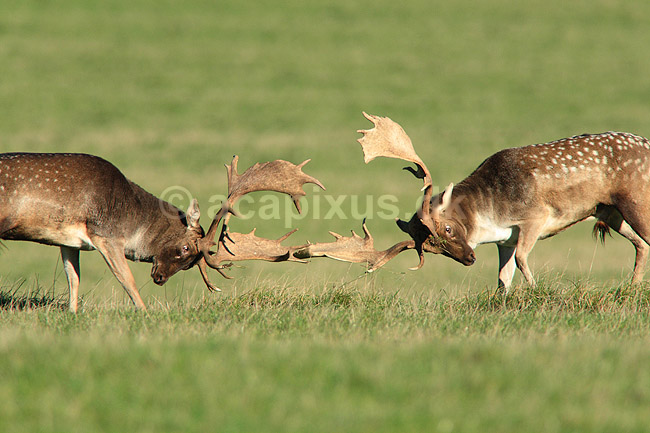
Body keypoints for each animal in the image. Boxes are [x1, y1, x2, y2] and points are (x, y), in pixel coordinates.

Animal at [0, 152, 324, 312]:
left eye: (191, 263)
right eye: (184, 249)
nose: (160, 279)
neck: (131, 217)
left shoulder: (70, 241)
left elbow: (73, 278)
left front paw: (73, 314)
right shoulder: (106, 234)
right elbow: (127, 280)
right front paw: (145, 313)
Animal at [301, 113, 650, 291]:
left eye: (447, 229)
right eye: (433, 248)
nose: (469, 258)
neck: (491, 217)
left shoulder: (535, 217)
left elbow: (523, 260)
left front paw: (536, 291)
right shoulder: (505, 240)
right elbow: (503, 278)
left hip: (635, 201)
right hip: (611, 212)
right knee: (639, 245)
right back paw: (631, 288)